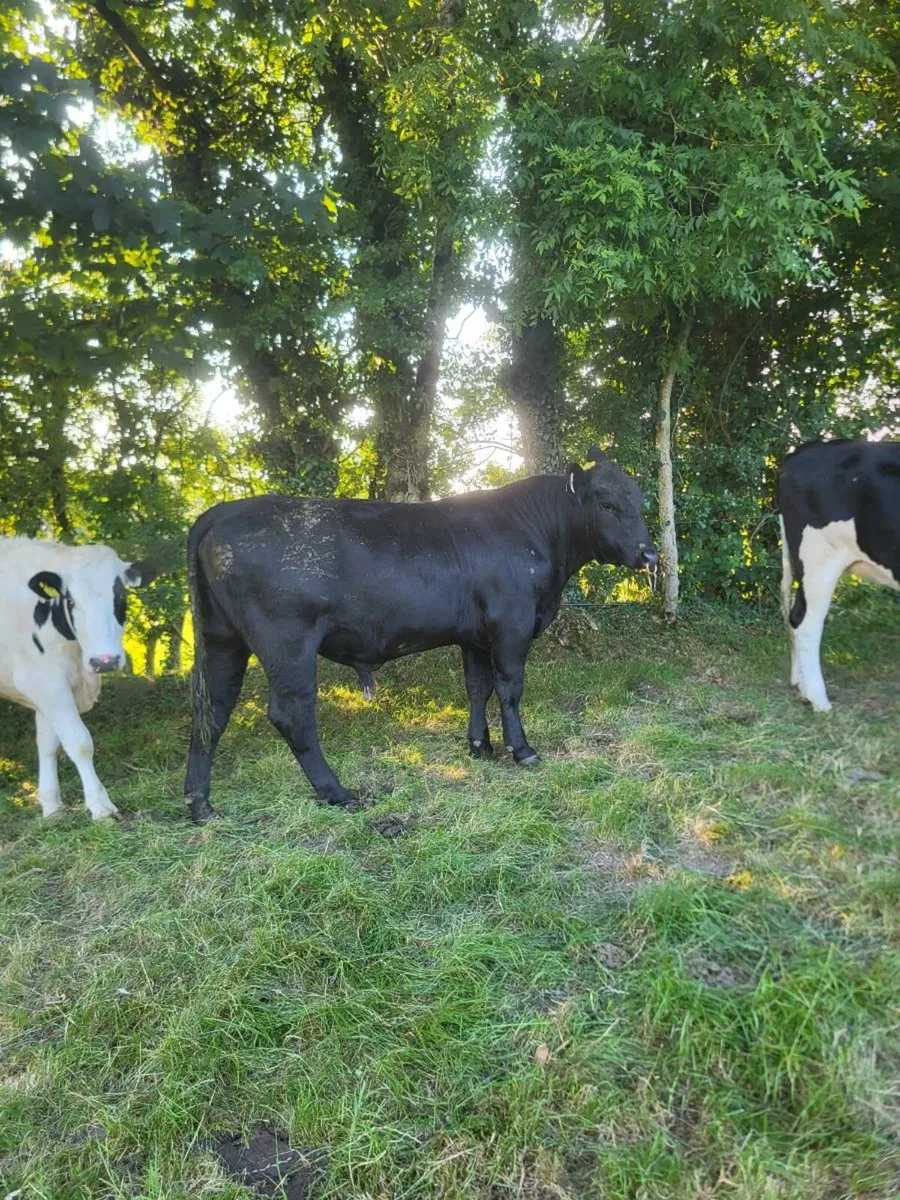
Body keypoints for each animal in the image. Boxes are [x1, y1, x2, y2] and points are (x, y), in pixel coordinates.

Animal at [0, 537, 155, 818]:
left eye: (121, 596)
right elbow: (79, 742)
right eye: (70, 600)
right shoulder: (45, 683)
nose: (104, 660)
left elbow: (48, 746)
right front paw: (101, 806)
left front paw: (52, 808)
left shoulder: (51, 686)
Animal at [183, 446, 658, 822]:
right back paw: (337, 792)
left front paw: (479, 746)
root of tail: (221, 511)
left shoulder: (474, 635)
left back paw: (200, 805)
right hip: (287, 643)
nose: (650, 554)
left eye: (637, 500)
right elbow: (509, 688)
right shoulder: (512, 623)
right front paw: (522, 750)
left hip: (222, 639)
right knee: (291, 715)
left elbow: (477, 687)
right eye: (606, 504)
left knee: (212, 711)